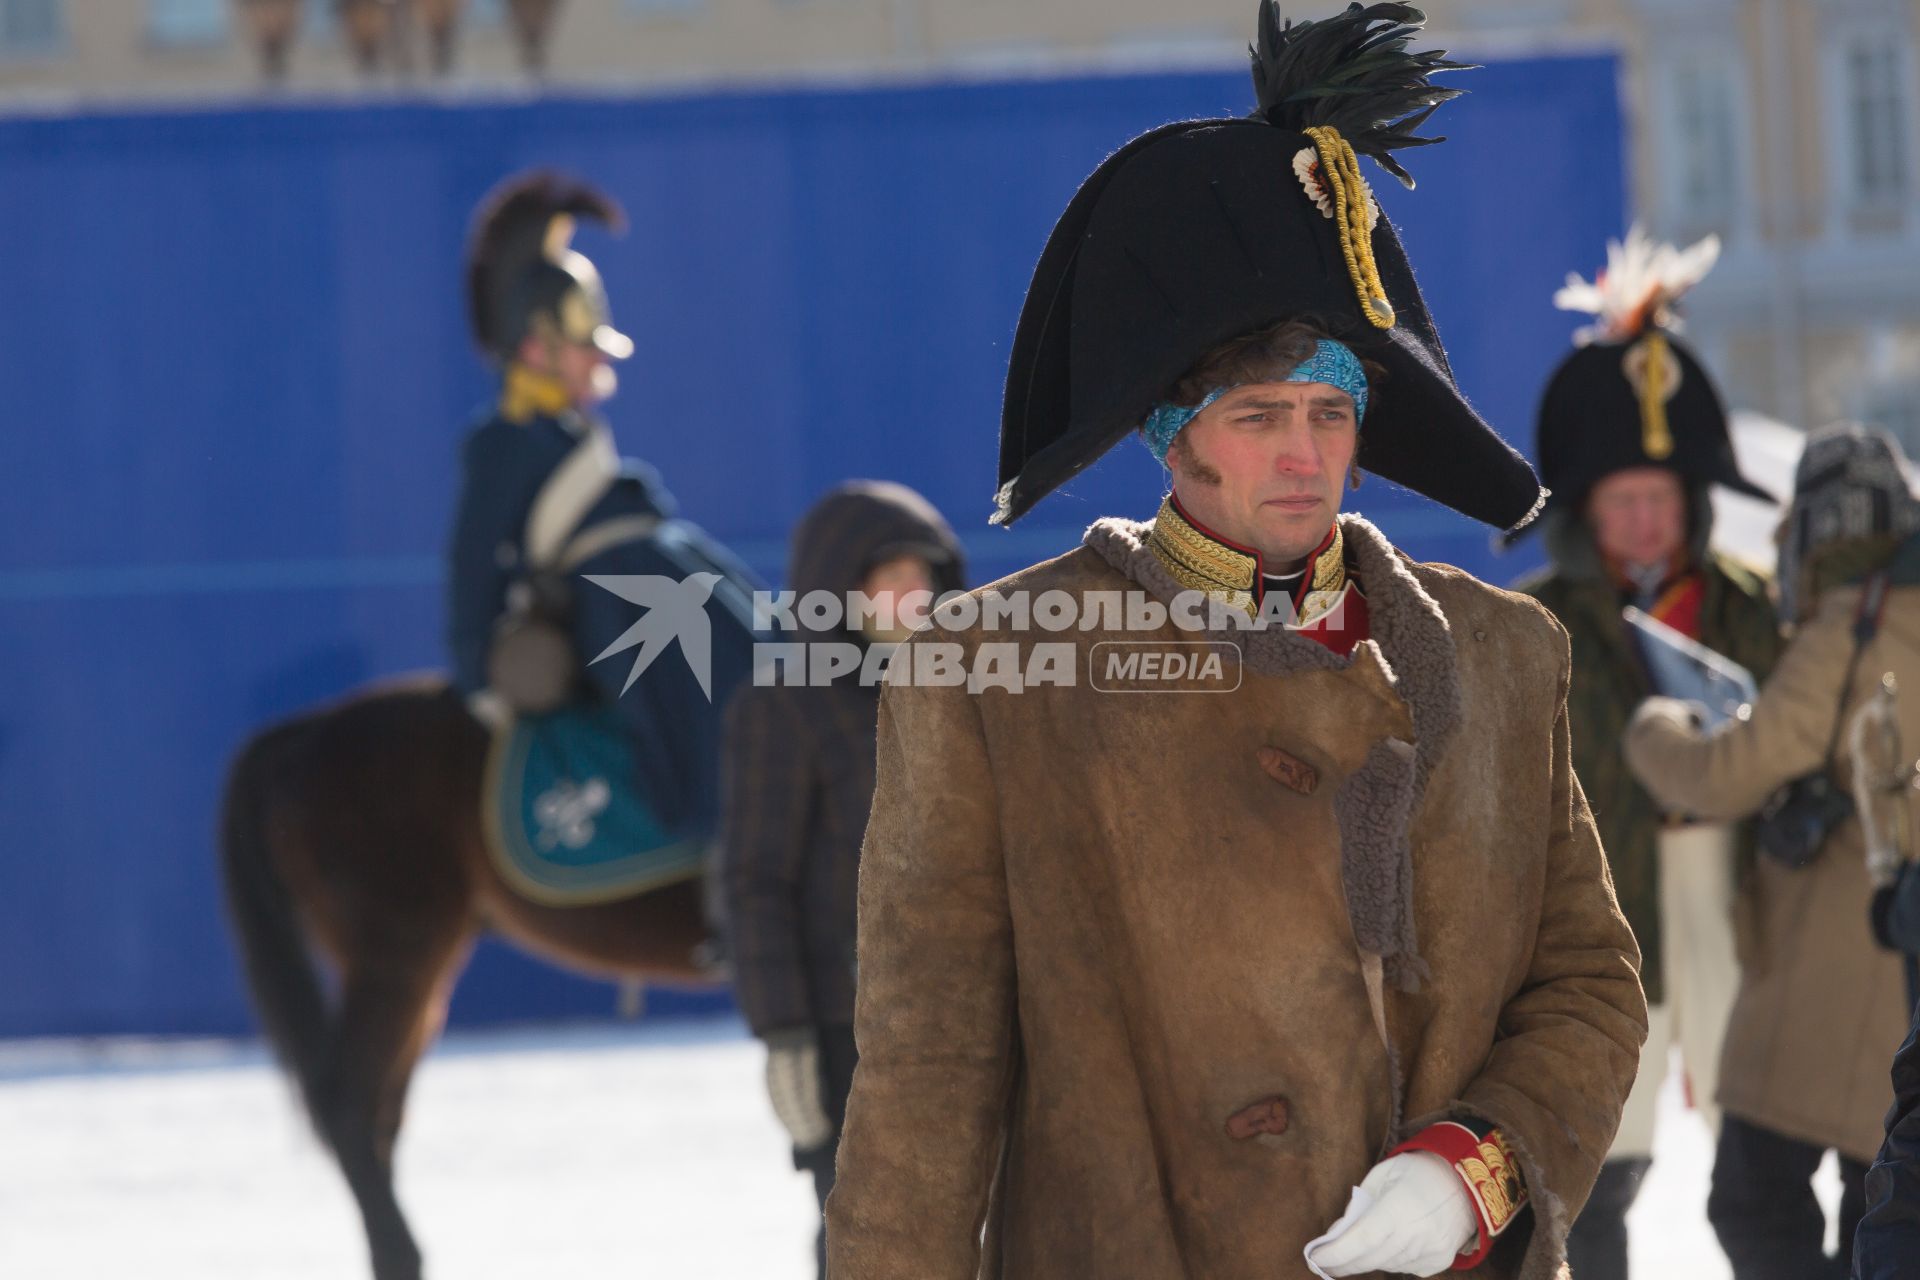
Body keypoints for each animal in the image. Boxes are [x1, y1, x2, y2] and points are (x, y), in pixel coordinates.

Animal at [217, 671, 714, 1280]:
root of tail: (306, 729)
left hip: (412, 974)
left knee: (379, 1116)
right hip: (397, 958)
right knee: (347, 1103)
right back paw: (399, 1251)